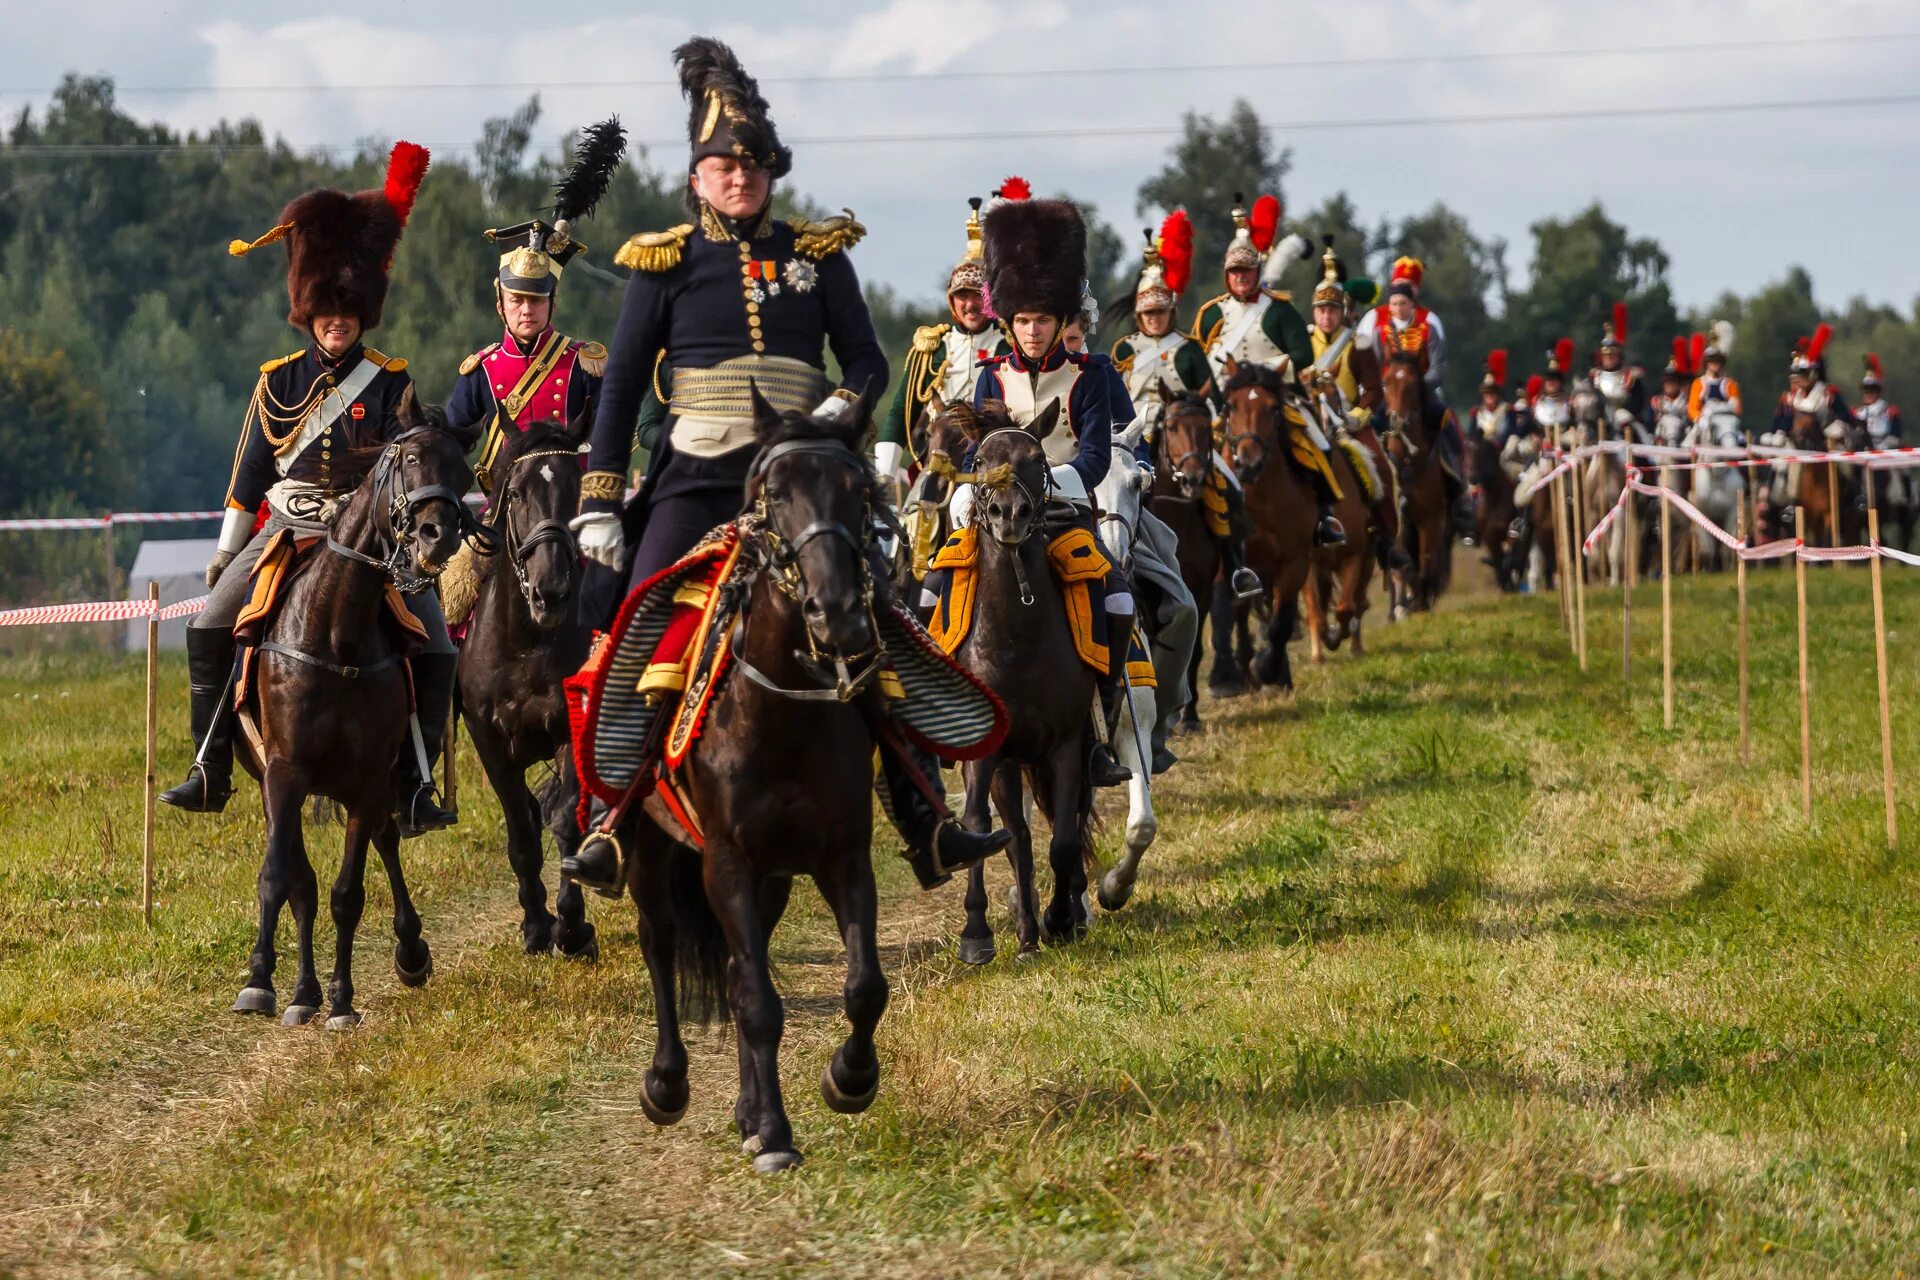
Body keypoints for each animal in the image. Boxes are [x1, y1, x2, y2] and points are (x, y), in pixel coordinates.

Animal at [232, 401, 472, 1028]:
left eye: (463, 473)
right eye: (409, 460)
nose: (438, 537)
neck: (334, 634)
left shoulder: (366, 784)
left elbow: (348, 893)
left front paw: (341, 998)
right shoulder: (283, 775)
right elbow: (282, 880)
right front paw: (264, 983)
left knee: (385, 842)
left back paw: (409, 951)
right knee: (301, 880)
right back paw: (302, 990)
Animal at [455, 418, 595, 959]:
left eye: (576, 488)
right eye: (515, 492)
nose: (549, 592)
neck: (526, 645)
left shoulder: (571, 731)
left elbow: (568, 823)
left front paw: (572, 927)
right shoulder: (489, 741)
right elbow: (521, 831)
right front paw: (537, 925)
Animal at [940, 401, 1105, 959]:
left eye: (1037, 460)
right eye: (980, 460)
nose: (1009, 514)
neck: (1016, 639)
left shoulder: (1067, 745)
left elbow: (1066, 839)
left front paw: (1063, 916)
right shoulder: (988, 754)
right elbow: (982, 830)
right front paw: (976, 932)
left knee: (1061, 827)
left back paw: (1062, 915)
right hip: (1011, 765)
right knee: (1019, 839)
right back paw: (1029, 933)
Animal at [1382, 347, 1451, 614]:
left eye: (1413, 384)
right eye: (1386, 382)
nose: (1398, 421)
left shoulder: (1430, 517)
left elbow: (1426, 560)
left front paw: (1421, 600)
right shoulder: (1400, 520)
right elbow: (1400, 563)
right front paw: (1402, 605)